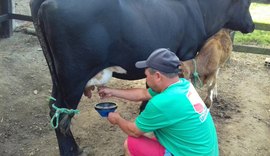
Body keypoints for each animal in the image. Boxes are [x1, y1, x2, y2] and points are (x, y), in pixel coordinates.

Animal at [30, 0, 254, 155]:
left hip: (58, 77)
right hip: (73, 77)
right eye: (247, 3)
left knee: (54, 110)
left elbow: (150, 86)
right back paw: (72, 151)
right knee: (61, 115)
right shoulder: (186, 54)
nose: (252, 26)